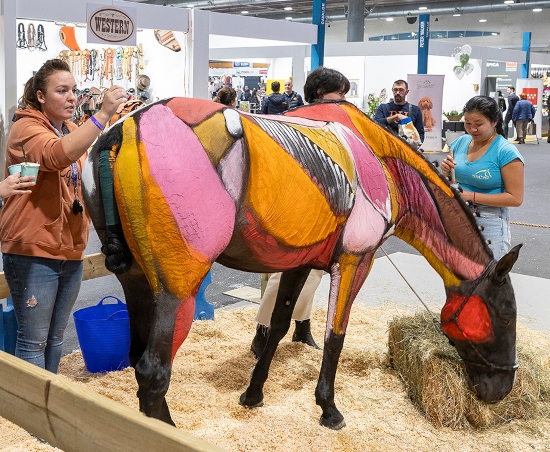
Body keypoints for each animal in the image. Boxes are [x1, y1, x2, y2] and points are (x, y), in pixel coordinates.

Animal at [82, 97, 520, 430]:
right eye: (506, 315)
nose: (502, 389)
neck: (388, 166)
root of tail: (122, 129)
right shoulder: (355, 262)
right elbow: (334, 335)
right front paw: (328, 408)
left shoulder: (299, 263)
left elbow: (277, 326)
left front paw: (253, 393)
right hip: (177, 291)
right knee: (154, 373)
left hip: (138, 282)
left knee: (138, 359)